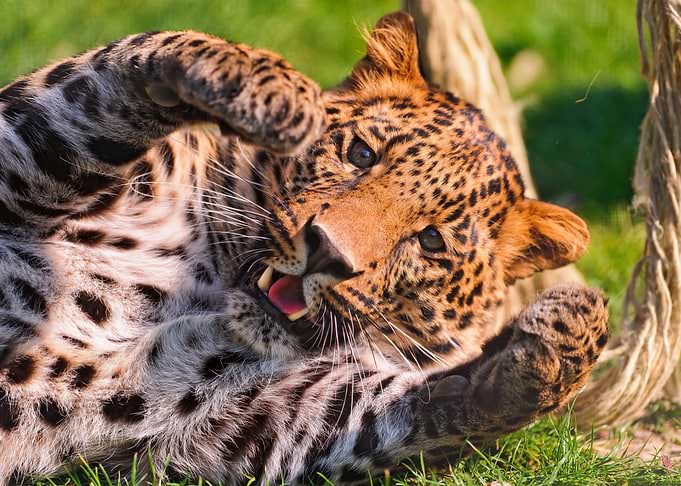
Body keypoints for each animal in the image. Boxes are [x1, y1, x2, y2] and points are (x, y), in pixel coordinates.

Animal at [0, 11, 609, 485]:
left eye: (431, 240)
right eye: (361, 154)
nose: (327, 252)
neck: (202, 281)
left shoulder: (236, 412)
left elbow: (414, 410)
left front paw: (570, 331)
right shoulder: (21, 148)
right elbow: (110, 83)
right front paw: (261, 87)